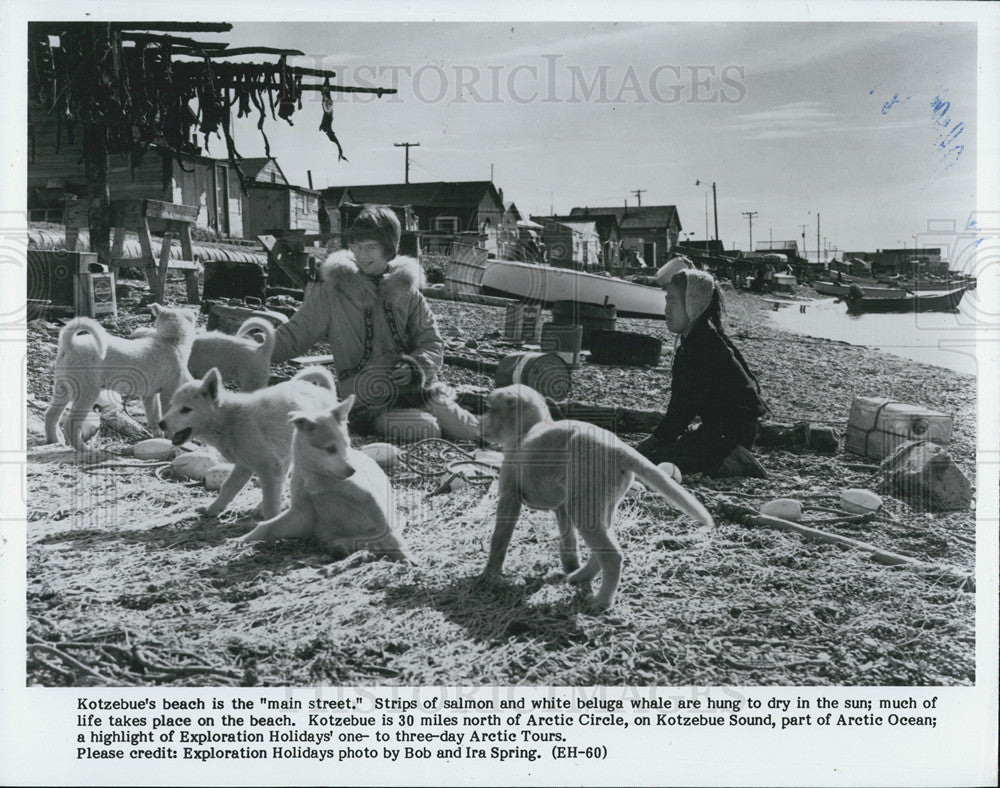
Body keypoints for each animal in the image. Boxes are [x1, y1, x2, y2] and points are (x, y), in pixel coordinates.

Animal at [44, 302, 196, 450]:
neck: (170, 342)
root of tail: (70, 344)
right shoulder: (168, 393)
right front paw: (171, 439)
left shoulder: (149, 396)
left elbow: (154, 417)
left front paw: (159, 436)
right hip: (87, 392)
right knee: (70, 423)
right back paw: (84, 450)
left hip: (64, 389)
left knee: (51, 415)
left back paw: (54, 441)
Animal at [240, 398, 412, 564]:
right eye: (330, 449)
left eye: (347, 445)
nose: (352, 470)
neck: (318, 478)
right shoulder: (301, 513)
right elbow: (265, 526)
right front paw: (239, 540)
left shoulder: (368, 498)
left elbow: (387, 531)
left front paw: (405, 555)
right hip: (321, 530)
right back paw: (339, 547)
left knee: (376, 537)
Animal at [480, 384, 716, 612]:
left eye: (490, 409)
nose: (478, 424)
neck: (527, 430)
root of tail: (619, 449)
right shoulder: (561, 510)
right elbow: (569, 544)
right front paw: (570, 566)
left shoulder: (509, 499)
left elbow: (499, 540)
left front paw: (488, 575)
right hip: (597, 507)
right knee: (599, 551)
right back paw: (578, 577)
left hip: (583, 509)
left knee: (612, 556)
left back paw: (601, 601)